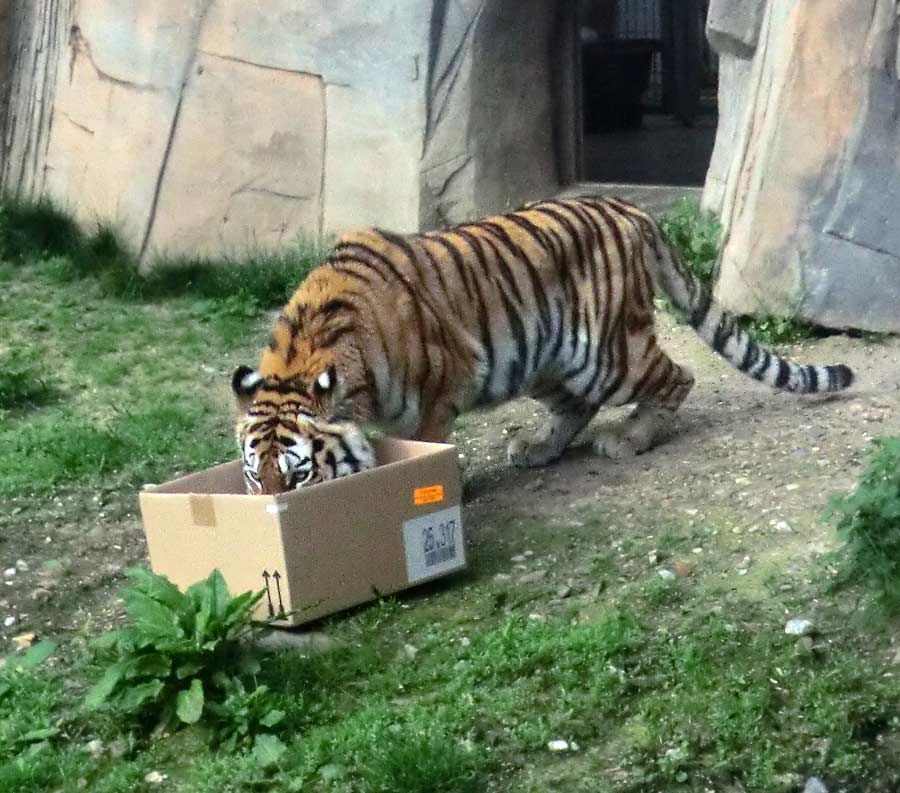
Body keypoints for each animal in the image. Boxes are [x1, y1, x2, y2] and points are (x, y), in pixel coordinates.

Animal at [230, 195, 852, 492]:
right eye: (253, 474)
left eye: (298, 473)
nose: (270, 508)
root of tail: (631, 208)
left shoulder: (438, 389)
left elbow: (428, 448)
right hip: (542, 359)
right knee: (576, 407)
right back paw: (537, 448)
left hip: (605, 354)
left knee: (678, 377)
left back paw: (631, 439)